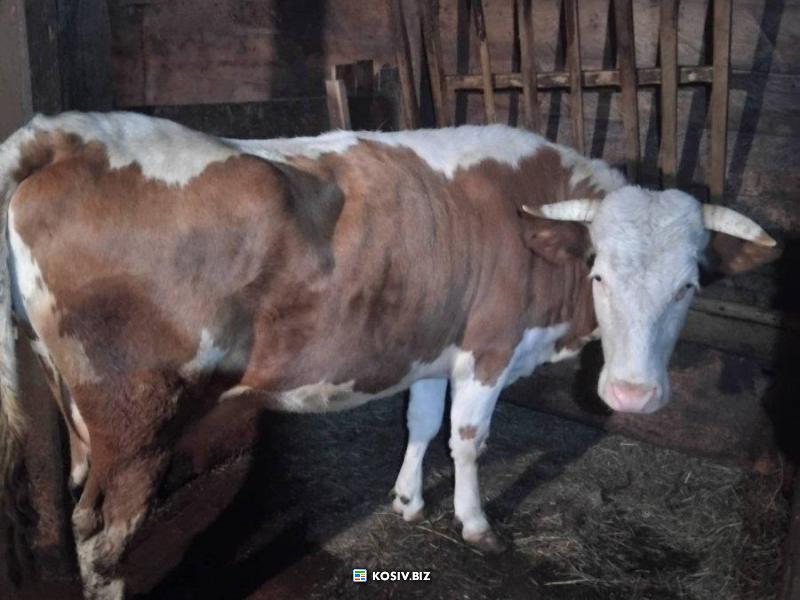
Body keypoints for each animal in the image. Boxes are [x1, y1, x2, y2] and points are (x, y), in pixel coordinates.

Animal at [0, 112, 777, 599]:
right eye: (600, 274)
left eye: (689, 283)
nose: (632, 396)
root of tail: (68, 132)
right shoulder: (489, 347)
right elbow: (468, 439)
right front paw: (474, 524)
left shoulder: (433, 349)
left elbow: (422, 424)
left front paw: (407, 500)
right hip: (136, 415)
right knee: (103, 535)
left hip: (75, 407)